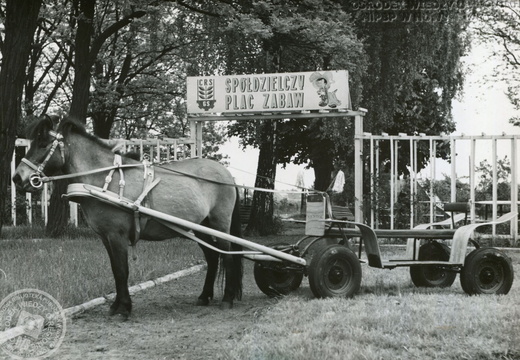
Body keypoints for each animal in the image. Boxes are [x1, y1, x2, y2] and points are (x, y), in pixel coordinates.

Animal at [12, 116, 244, 320]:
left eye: (43, 144)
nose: (17, 178)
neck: (104, 180)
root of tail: (227, 175)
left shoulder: (117, 235)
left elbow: (122, 270)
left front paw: (124, 308)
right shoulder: (106, 237)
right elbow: (115, 271)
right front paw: (116, 305)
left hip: (219, 224)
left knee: (228, 256)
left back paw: (227, 299)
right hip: (200, 228)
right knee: (213, 258)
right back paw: (204, 296)